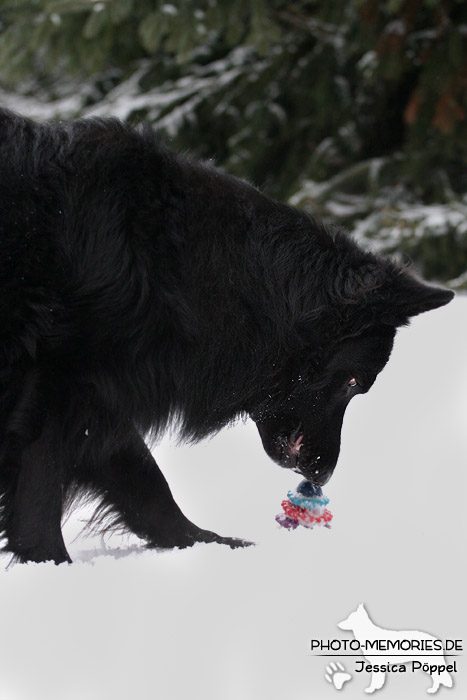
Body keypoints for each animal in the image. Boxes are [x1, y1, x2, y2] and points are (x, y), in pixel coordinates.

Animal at [0, 109, 454, 564]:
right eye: (353, 383)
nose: (324, 473)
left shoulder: (99, 400)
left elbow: (146, 484)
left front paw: (211, 546)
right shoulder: (57, 387)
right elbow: (42, 487)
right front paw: (49, 563)